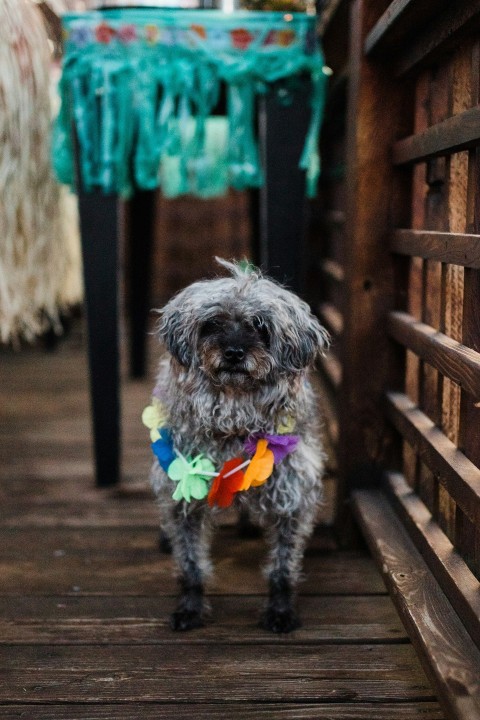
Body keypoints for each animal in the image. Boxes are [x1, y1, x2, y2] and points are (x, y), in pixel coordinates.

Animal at [149, 262, 330, 632]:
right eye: (212, 324)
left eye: (259, 326)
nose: (233, 352)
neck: (234, 412)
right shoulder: (183, 493)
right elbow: (190, 563)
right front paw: (190, 606)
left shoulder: (292, 496)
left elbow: (283, 566)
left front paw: (280, 609)